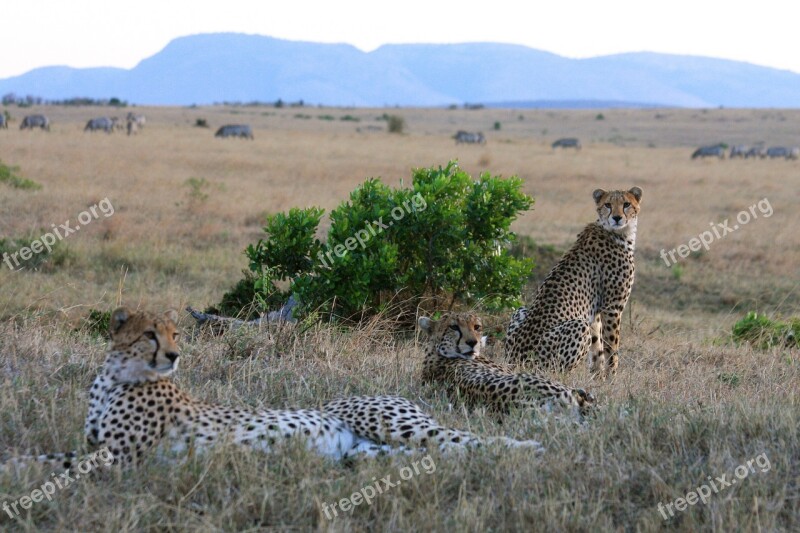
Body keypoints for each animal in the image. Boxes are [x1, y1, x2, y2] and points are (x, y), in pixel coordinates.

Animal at [3, 306, 540, 472]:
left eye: (175, 334)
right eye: (151, 334)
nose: (175, 356)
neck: (116, 377)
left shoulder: (119, 458)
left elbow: (54, 462)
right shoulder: (98, 448)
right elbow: (50, 455)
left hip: (400, 426)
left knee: (476, 441)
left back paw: (532, 448)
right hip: (369, 452)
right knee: (447, 454)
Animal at [506, 187, 644, 378]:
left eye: (626, 204)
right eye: (608, 205)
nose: (616, 218)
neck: (617, 232)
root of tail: (514, 360)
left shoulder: (595, 311)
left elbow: (598, 347)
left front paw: (598, 377)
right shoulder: (612, 308)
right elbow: (611, 348)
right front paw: (612, 377)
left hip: (520, 310)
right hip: (576, 327)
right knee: (557, 371)